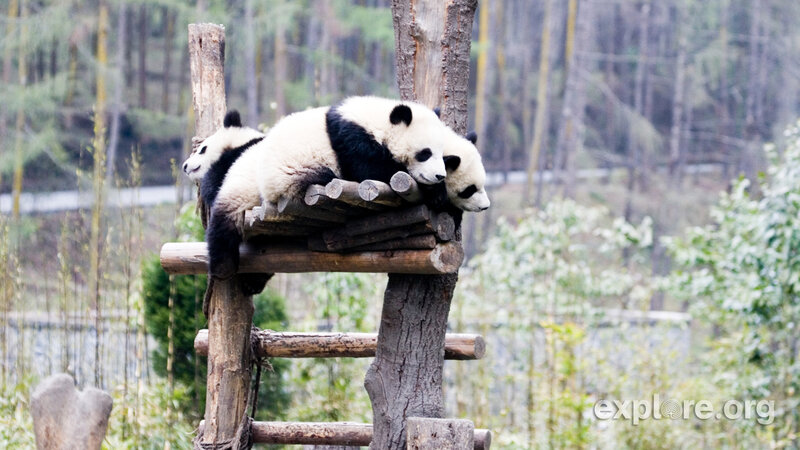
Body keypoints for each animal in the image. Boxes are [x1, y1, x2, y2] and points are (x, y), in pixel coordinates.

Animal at [207, 96, 452, 280]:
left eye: (442, 154)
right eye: (425, 153)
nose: (439, 175)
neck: (375, 120)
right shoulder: (353, 140)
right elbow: (373, 170)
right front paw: (436, 192)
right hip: (288, 174)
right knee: (225, 222)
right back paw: (222, 267)